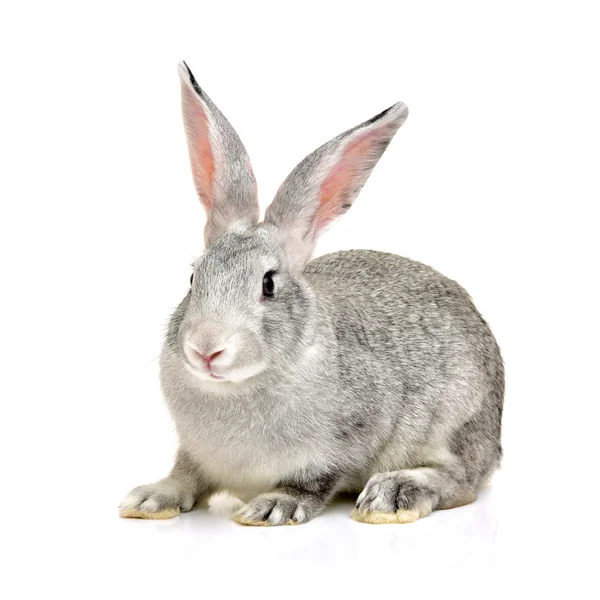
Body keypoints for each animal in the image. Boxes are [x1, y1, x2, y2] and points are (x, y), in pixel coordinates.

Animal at [119, 61, 504, 524]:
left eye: (268, 284)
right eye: (194, 279)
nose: (206, 350)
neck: (237, 387)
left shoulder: (347, 440)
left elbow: (313, 481)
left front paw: (272, 507)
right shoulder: (195, 454)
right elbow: (185, 475)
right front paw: (150, 498)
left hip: (458, 418)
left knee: (461, 479)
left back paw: (394, 494)